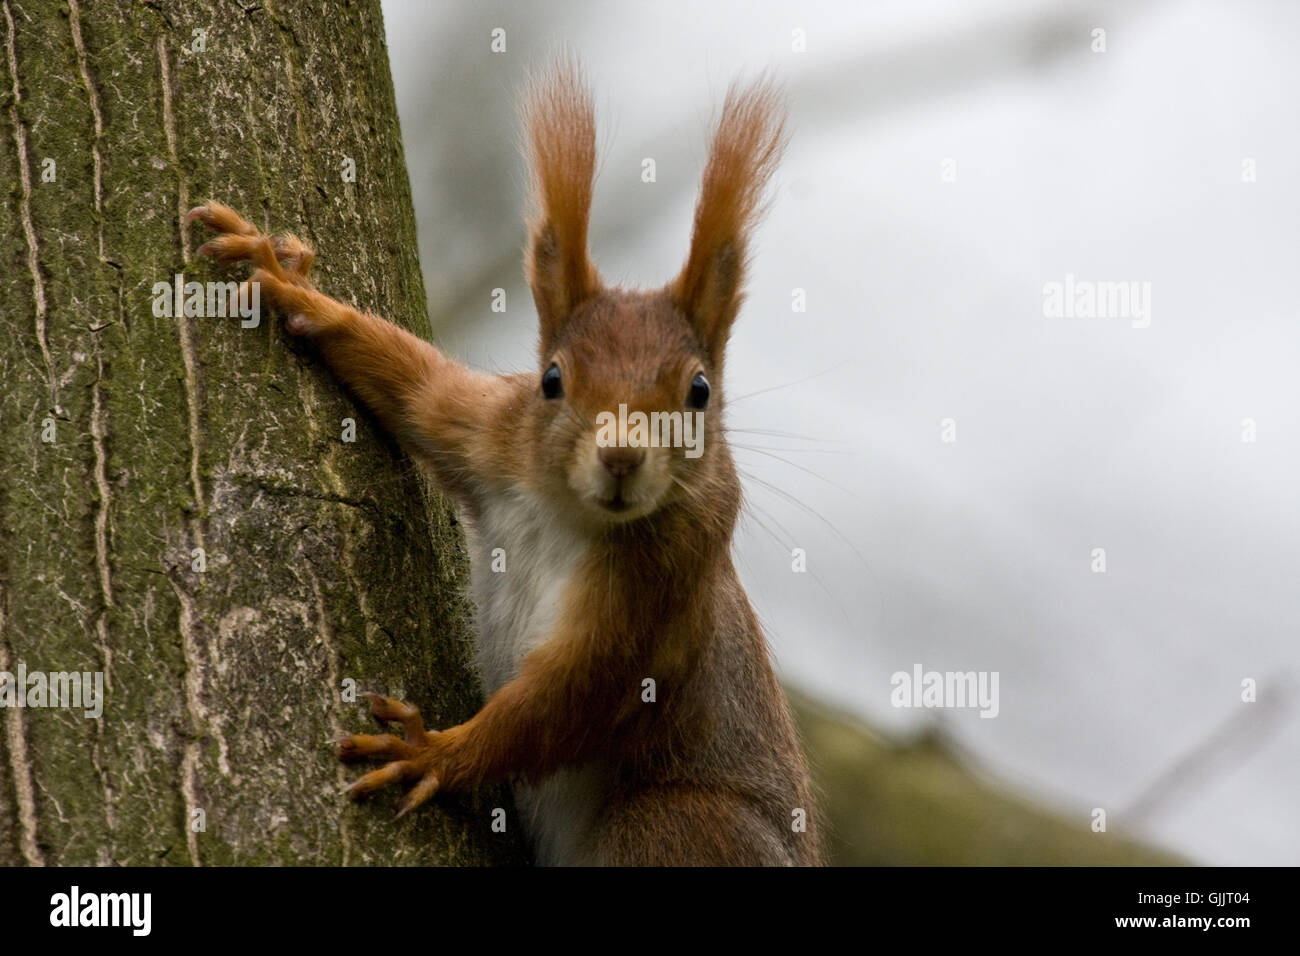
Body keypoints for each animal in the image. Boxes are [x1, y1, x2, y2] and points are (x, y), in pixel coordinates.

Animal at [188, 59, 816, 868]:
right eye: (552, 380)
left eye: (699, 393)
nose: (620, 457)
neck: (565, 510)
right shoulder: (491, 435)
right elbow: (417, 388)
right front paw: (292, 285)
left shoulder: (666, 583)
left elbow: (567, 700)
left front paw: (432, 754)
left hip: (679, 824)